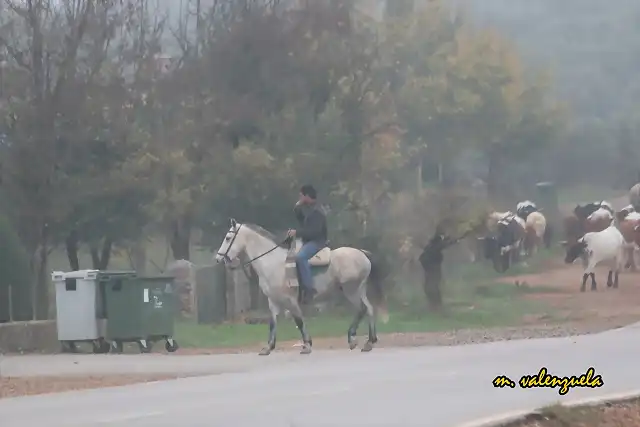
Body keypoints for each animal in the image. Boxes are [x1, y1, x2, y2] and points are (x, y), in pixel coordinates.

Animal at [214, 219, 384, 356]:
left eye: (228, 238)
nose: (218, 259)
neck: (273, 263)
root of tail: (363, 253)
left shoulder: (290, 300)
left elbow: (299, 321)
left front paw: (307, 345)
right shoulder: (273, 301)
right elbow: (272, 323)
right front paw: (268, 348)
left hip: (351, 290)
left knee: (362, 309)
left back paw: (352, 339)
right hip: (359, 290)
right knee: (369, 309)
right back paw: (370, 342)